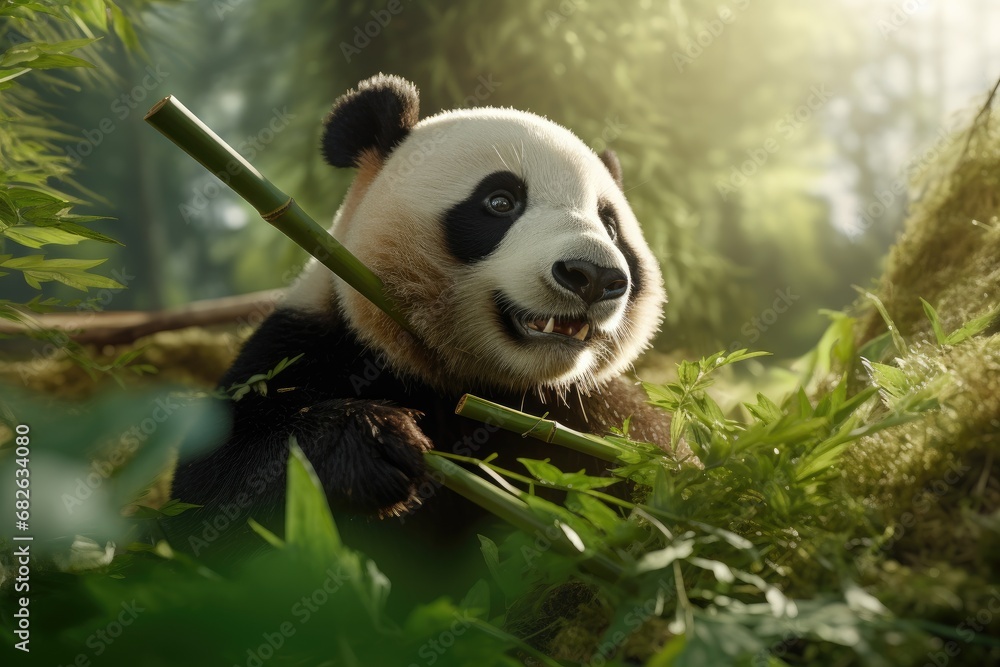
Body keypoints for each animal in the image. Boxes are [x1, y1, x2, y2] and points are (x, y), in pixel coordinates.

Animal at [169, 74, 670, 550]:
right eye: (500, 201)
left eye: (610, 225)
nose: (593, 275)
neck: (480, 388)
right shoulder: (307, 344)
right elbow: (212, 489)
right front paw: (373, 444)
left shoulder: (592, 410)